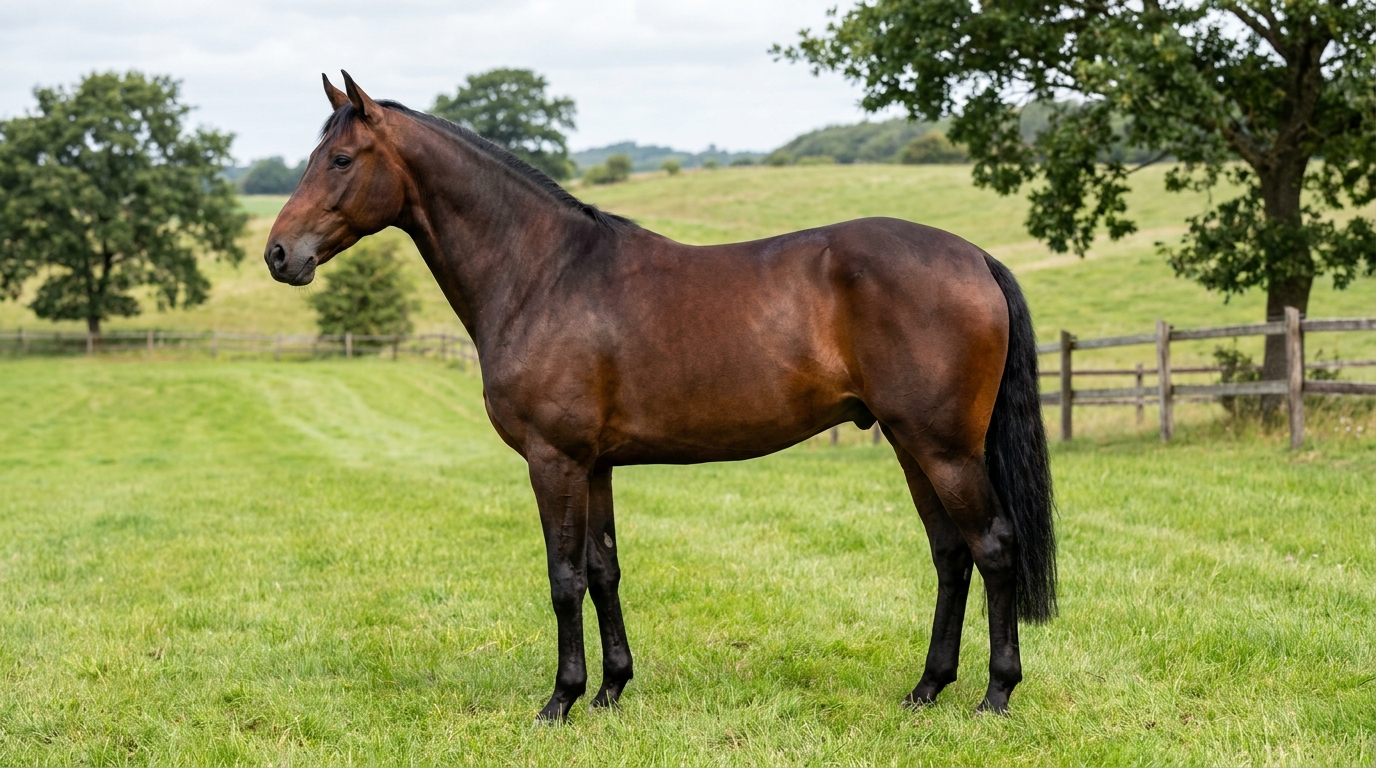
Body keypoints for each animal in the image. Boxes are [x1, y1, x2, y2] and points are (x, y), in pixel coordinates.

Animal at [265, 72, 1056, 722]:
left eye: (340, 160)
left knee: (993, 547)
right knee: (951, 555)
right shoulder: (594, 465)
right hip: (910, 444)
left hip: (943, 447)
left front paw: (560, 699)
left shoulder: (553, 460)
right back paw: (927, 688)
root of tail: (974, 258)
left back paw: (995, 693)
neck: (543, 274)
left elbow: (562, 577)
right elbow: (603, 570)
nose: (279, 254)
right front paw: (611, 689)